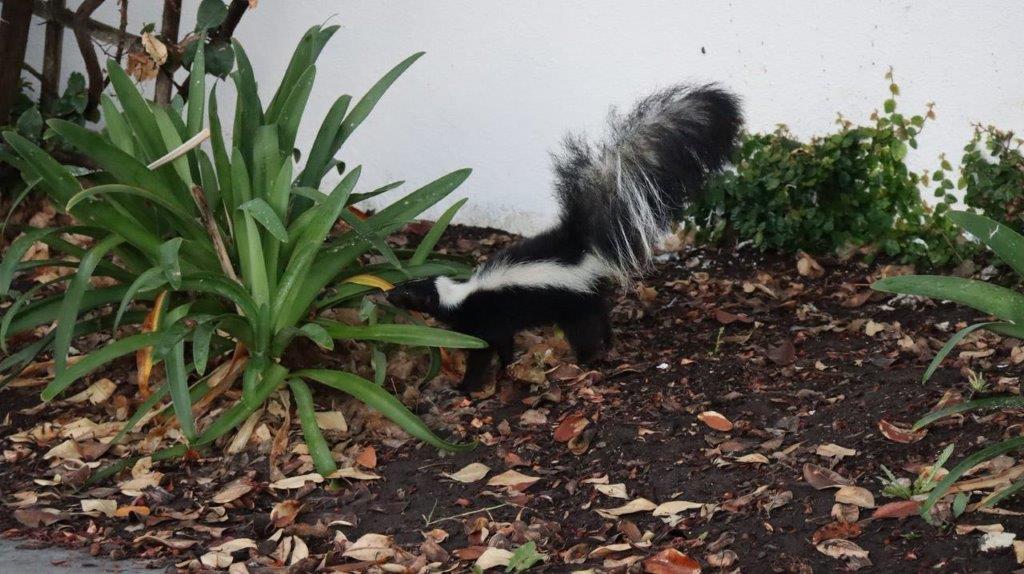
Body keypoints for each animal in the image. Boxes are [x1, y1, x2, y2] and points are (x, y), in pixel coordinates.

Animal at [387, 83, 741, 388]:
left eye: (408, 293)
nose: (387, 293)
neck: (461, 294)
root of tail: (578, 245)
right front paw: (499, 370)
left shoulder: (486, 321)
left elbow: (490, 348)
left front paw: (474, 382)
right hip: (587, 293)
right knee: (602, 316)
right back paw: (609, 342)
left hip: (573, 300)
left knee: (585, 326)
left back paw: (587, 357)